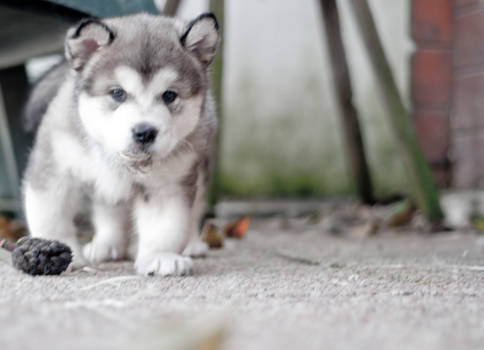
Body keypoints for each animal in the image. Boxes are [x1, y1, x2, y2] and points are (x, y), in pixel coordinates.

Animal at [22, 13, 219, 276]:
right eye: (117, 93)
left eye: (169, 95)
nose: (144, 132)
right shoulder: (56, 166)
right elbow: (50, 214)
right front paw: (50, 247)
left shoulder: (168, 184)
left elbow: (166, 225)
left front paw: (160, 256)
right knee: (110, 210)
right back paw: (107, 245)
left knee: (195, 208)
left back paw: (192, 244)